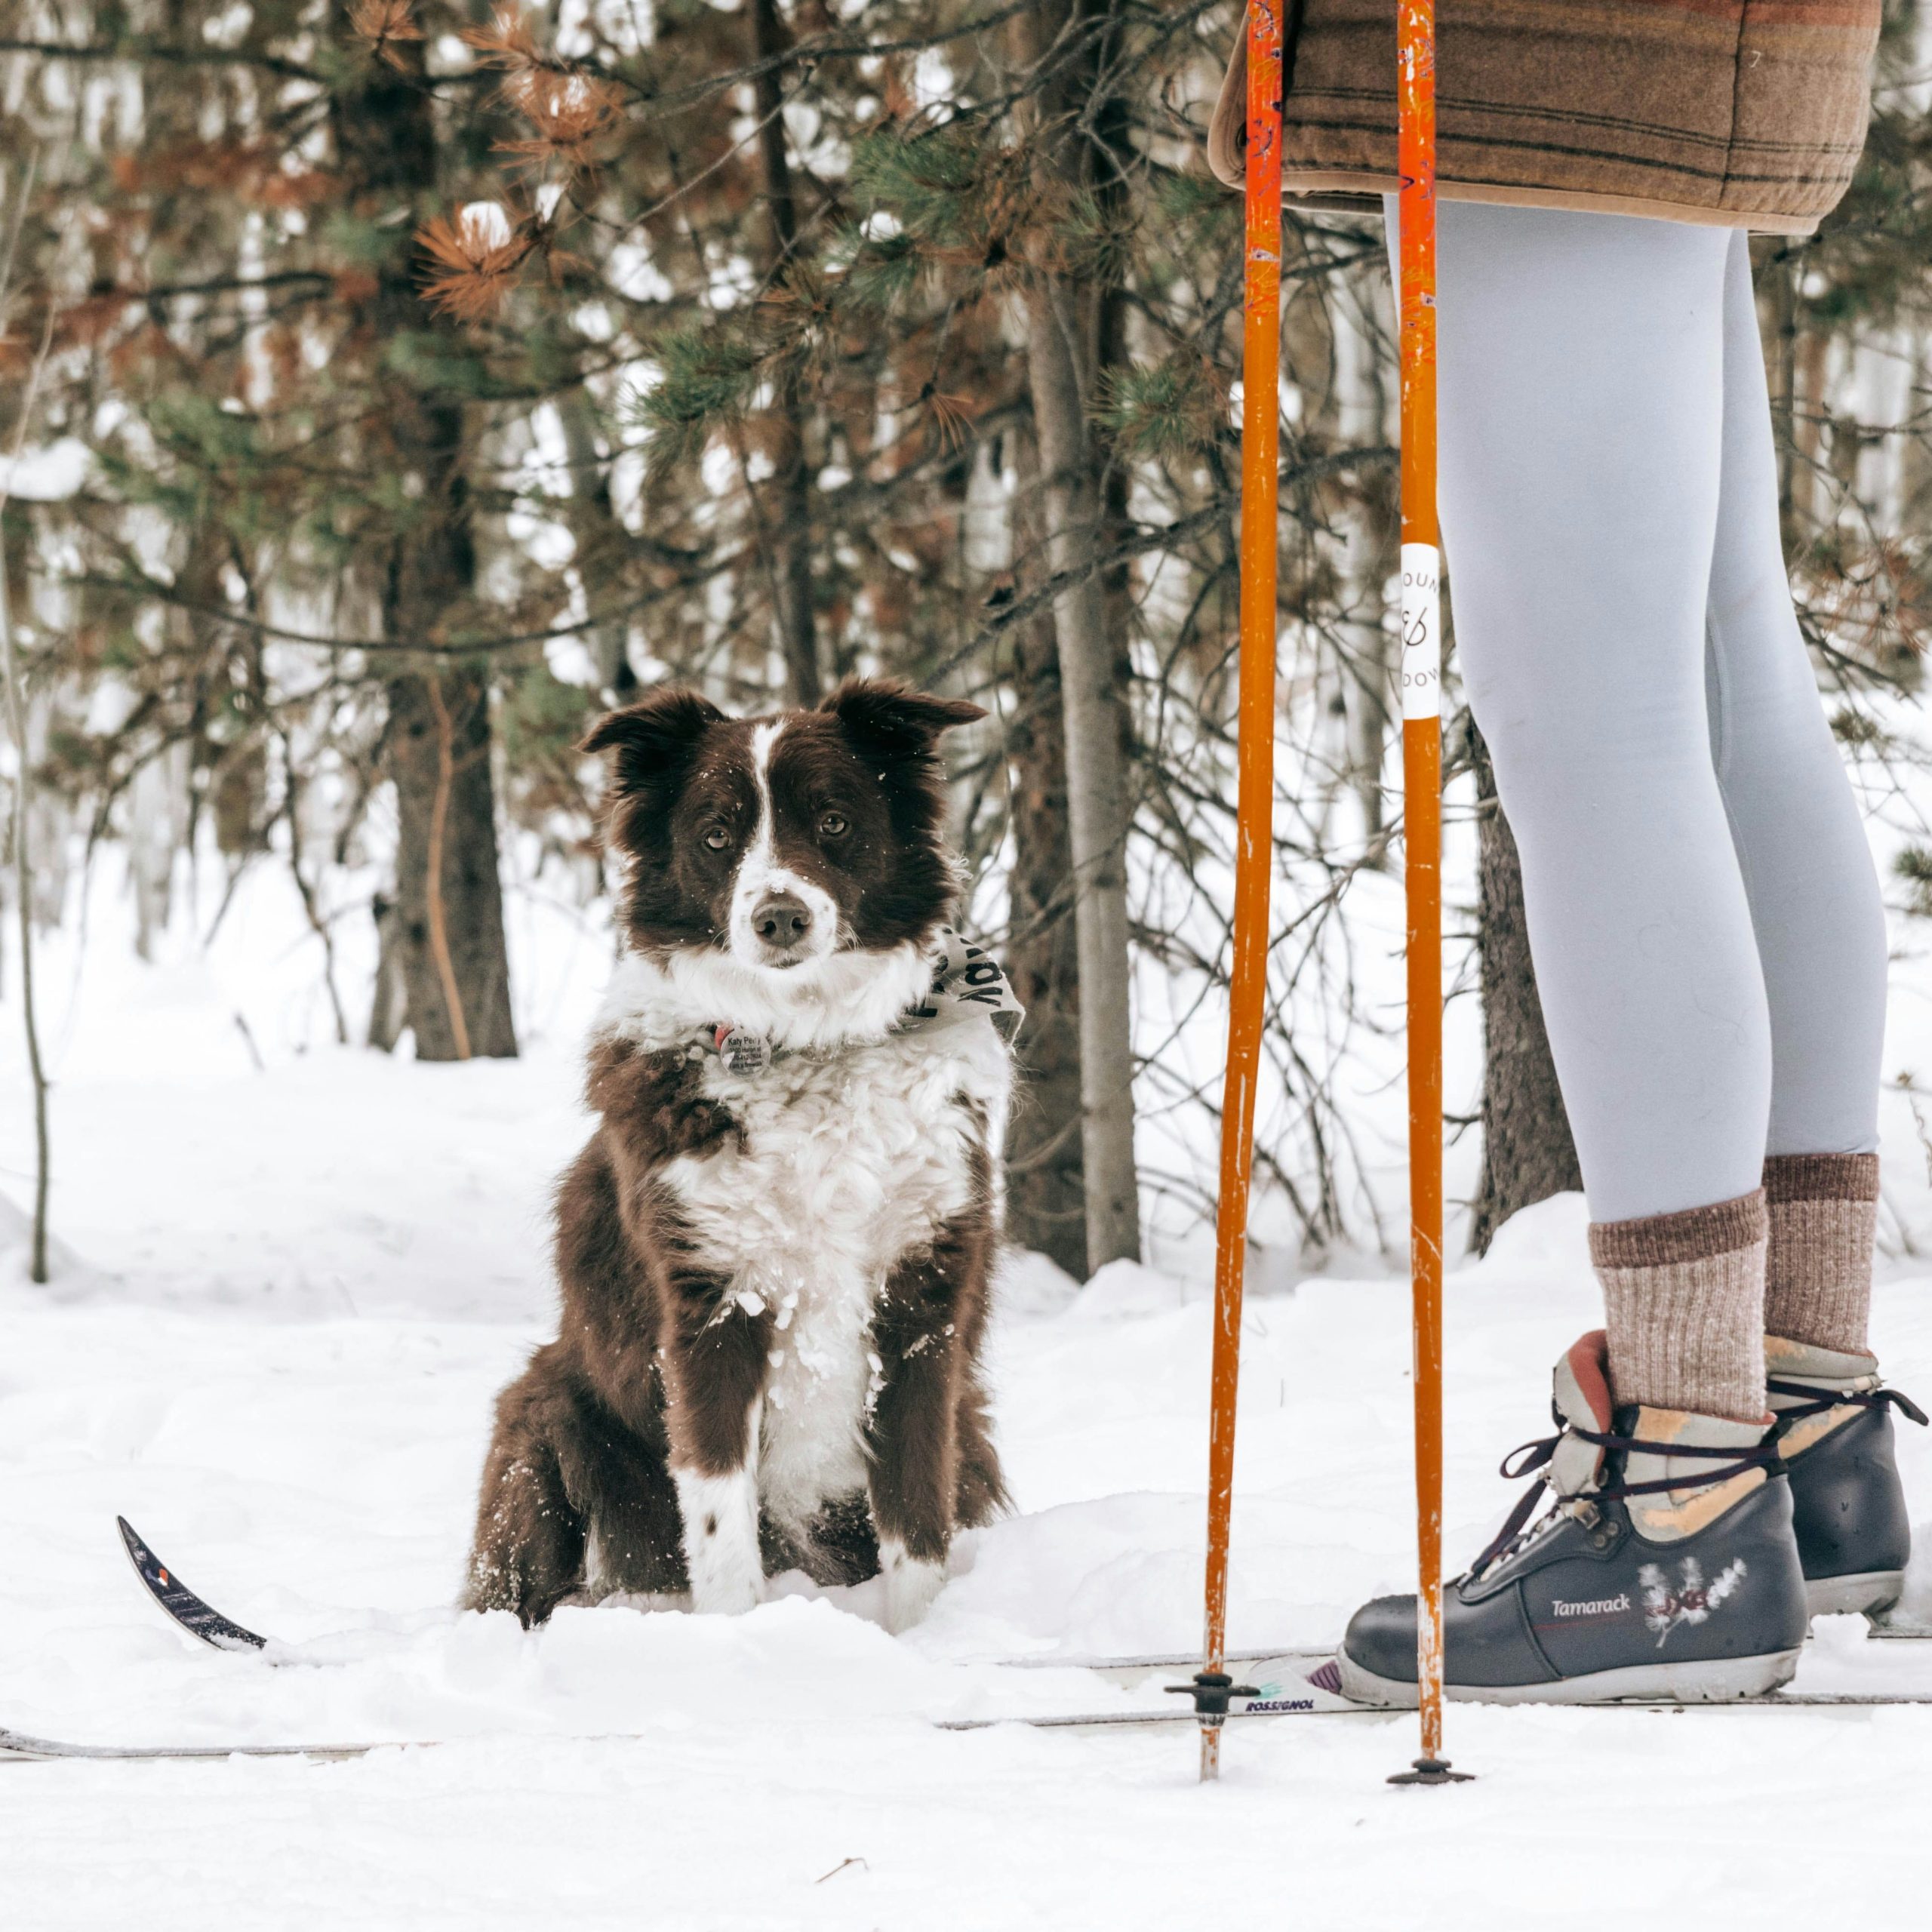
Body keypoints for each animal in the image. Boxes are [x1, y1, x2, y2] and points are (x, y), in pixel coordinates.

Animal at [467, 680, 1012, 1630]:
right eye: (717, 835)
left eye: (832, 820)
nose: (779, 916)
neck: (807, 1042)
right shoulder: (712, 1304)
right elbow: (720, 1521)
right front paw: (739, 1640)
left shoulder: (922, 1304)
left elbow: (916, 1516)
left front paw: (919, 1638)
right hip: (545, 1414)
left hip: (972, 1429)